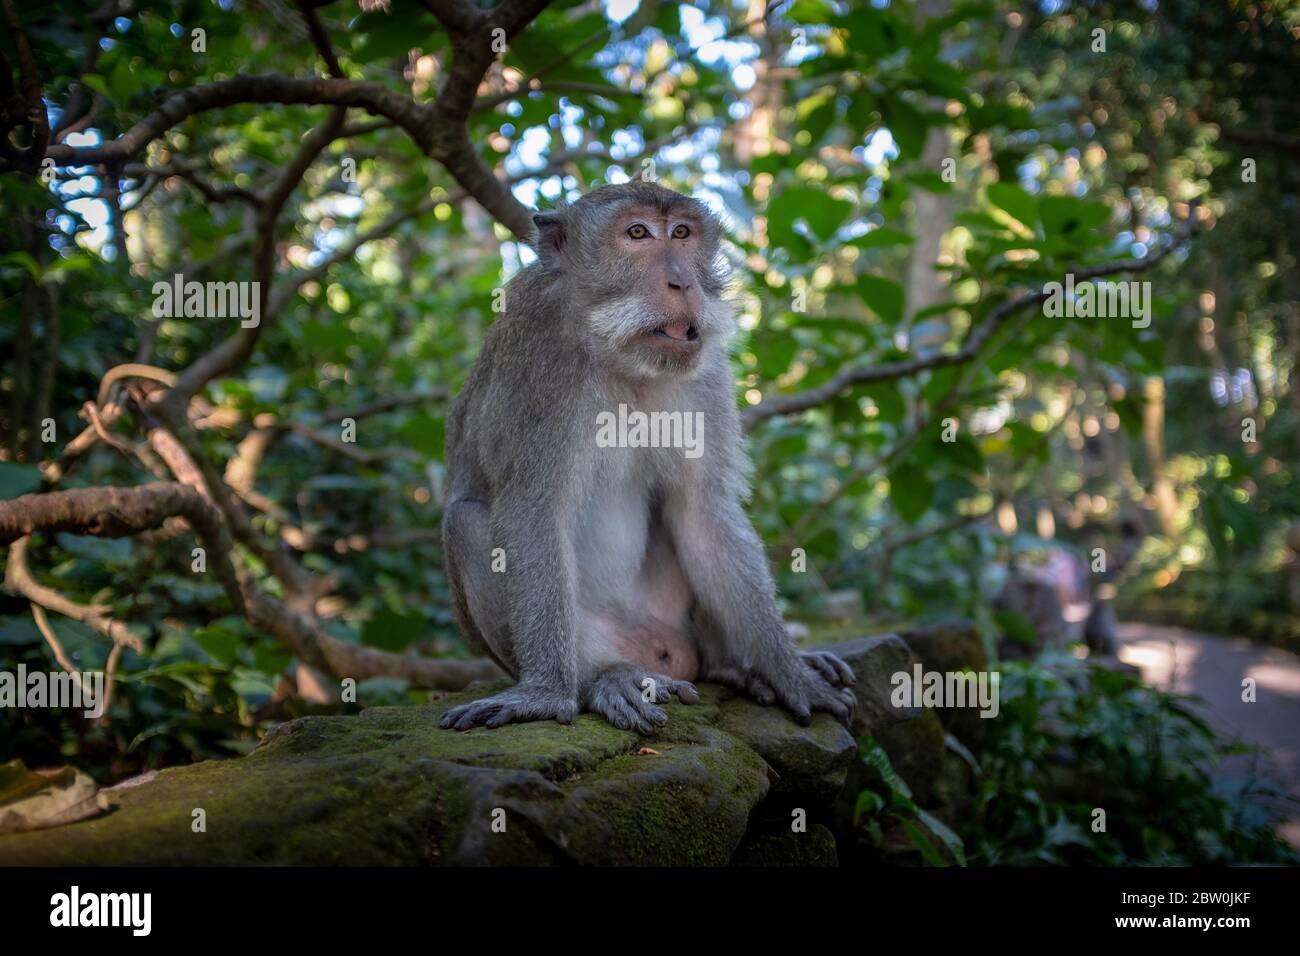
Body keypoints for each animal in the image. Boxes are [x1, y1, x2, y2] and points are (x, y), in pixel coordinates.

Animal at [440, 181, 856, 734]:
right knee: (465, 521)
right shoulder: (538, 365)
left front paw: (791, 673)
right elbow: (532, 512)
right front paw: (545, 694)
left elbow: (702, 512)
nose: (683, 281)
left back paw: (735, 666)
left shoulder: (705, 373)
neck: (619, 356)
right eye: (637, 233)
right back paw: (605, 679)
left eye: (681, 233)